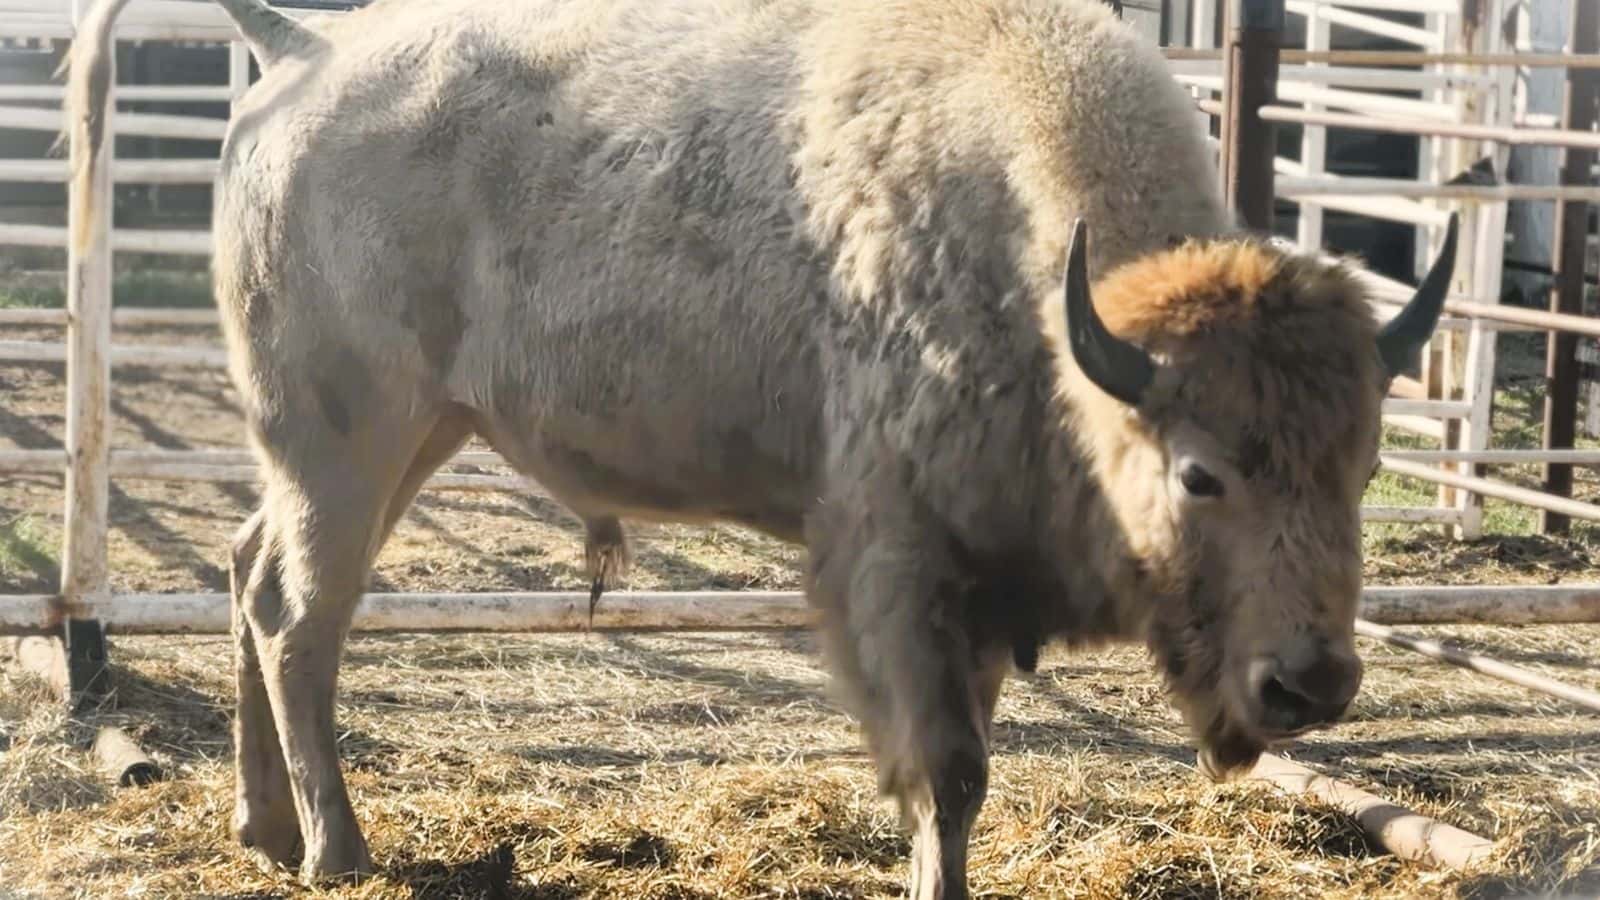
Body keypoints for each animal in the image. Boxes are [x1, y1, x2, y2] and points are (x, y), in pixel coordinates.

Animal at [67, 0, 1453, 896]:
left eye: (1362, 468)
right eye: (1200, 472)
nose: (1311, 683)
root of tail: (305, 46)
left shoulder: (974, 578)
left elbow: (965, 773)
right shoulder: (898, 563)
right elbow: (945, 773)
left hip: (390, 442)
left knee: (248, 570)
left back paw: (259, 828)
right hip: (350, 443)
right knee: (301, 617)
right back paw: (337, 851)